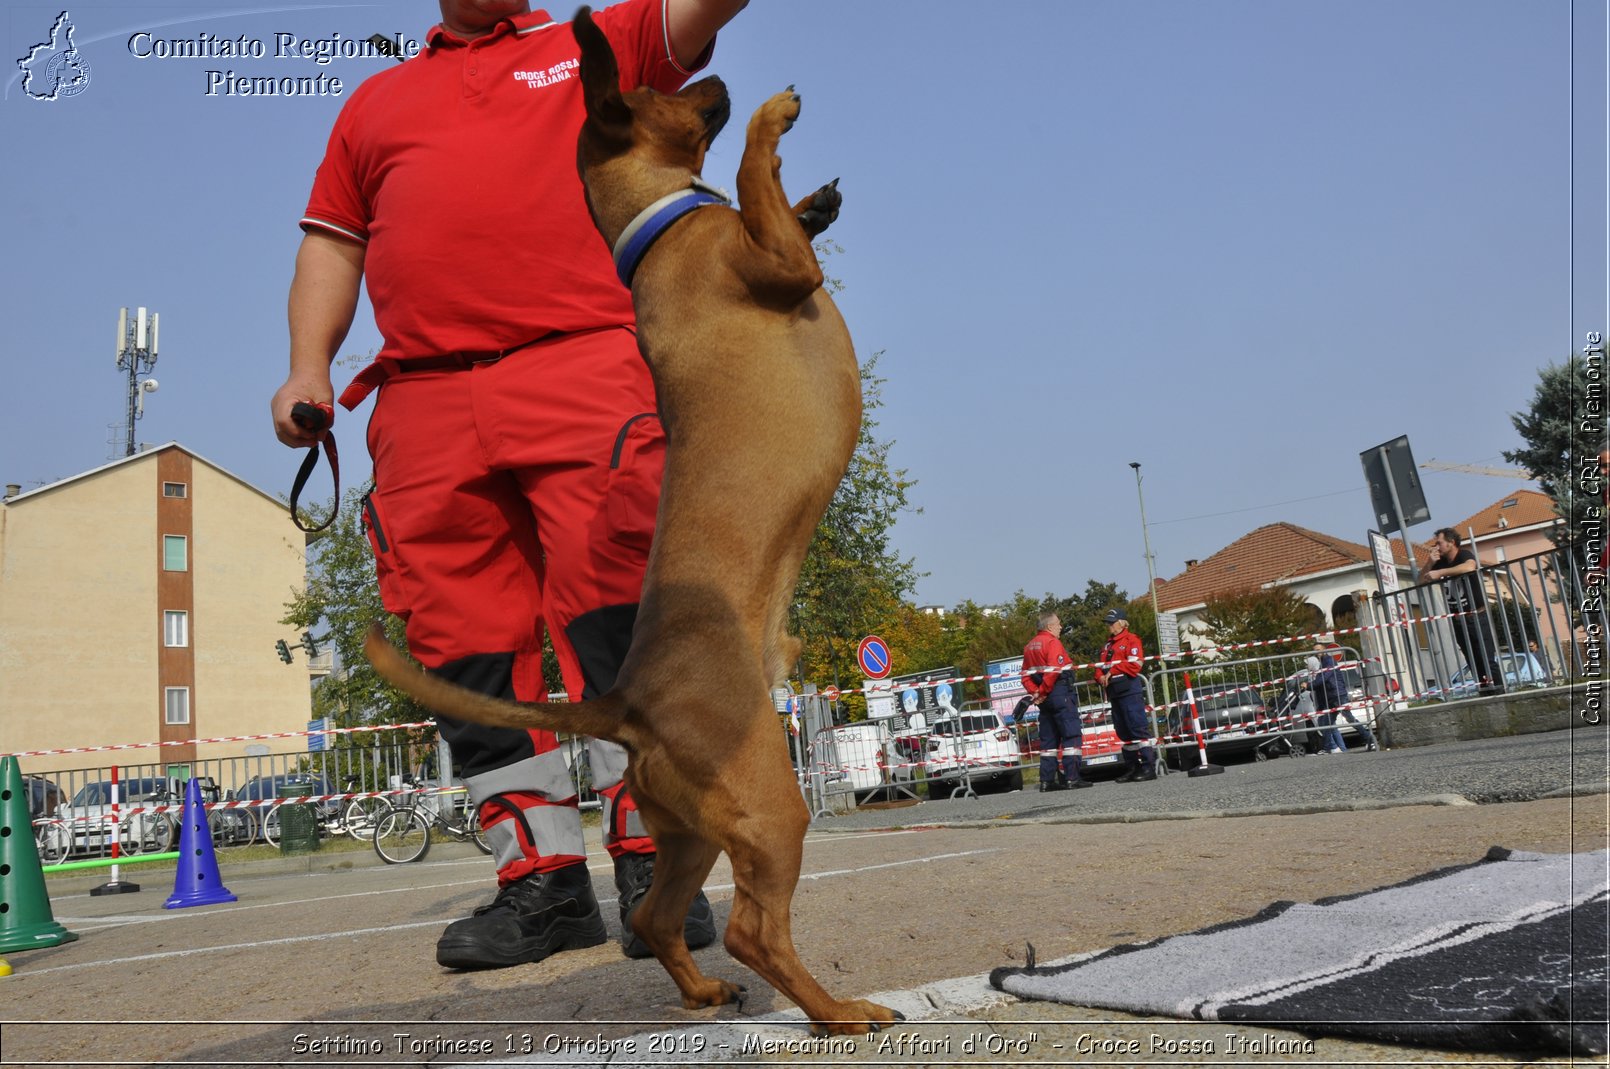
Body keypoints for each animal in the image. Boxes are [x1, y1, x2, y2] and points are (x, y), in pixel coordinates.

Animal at [365, 6, 908, 1036]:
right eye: (661, 89)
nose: (714, 74)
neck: (660, 227)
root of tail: (629, 703)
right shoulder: (774, 264)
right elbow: (752, 176)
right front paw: (770, 126)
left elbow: (777, 204)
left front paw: (813, 197)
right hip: (769, 806)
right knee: (752, 929)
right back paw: (838, 1010)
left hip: (691, 831)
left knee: (659, 917)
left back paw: (705, 992)